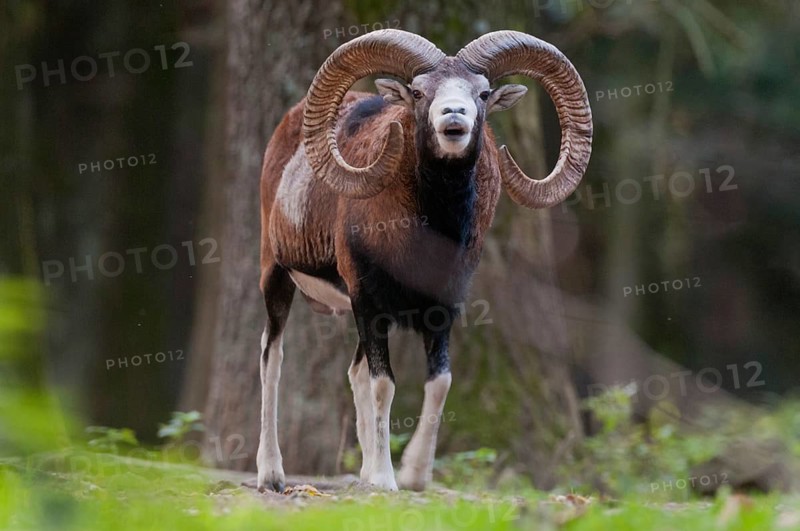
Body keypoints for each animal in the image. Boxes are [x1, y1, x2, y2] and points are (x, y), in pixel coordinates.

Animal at [256, 29, 592, 493]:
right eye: (418, 92)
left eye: (482, 93)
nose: (453, 117)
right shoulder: (369, 302)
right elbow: (383, 385)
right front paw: (385, 480)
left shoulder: (441, 310)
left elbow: (438, 382)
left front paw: (414, 475)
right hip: (276, 278)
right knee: (272, 360)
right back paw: (271, 475)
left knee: (354, 373)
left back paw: (361, 472)